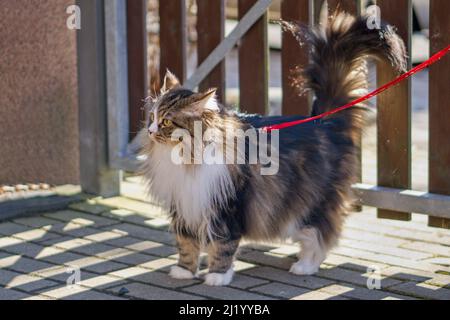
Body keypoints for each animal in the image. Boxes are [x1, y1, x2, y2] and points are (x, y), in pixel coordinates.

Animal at [142, 11, 408, 288]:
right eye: (152, 116)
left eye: (167, 122)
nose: (149, 130)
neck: (185, 160)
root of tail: (323, 121)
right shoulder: (184, 205)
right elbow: (186, 244)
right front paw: (183, 271)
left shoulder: (228, 207)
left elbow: (223, 247)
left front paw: (217, 276)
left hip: (314, 200)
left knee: (322, 233)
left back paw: (304, 266)